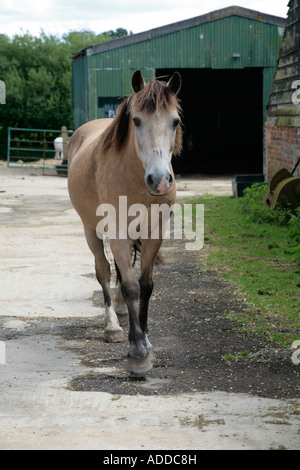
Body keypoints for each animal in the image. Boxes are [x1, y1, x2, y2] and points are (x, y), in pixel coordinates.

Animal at [67, 70, 182, 374]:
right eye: (136, 120)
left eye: (175, 121)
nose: (160, 180)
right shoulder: (116, 230)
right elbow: (130, 285)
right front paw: (137, 352)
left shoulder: (155, 232)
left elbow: (146, 285)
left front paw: (147, 341)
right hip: (91, 228)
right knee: (104, 271)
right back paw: (112, 326)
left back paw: (119, 310)